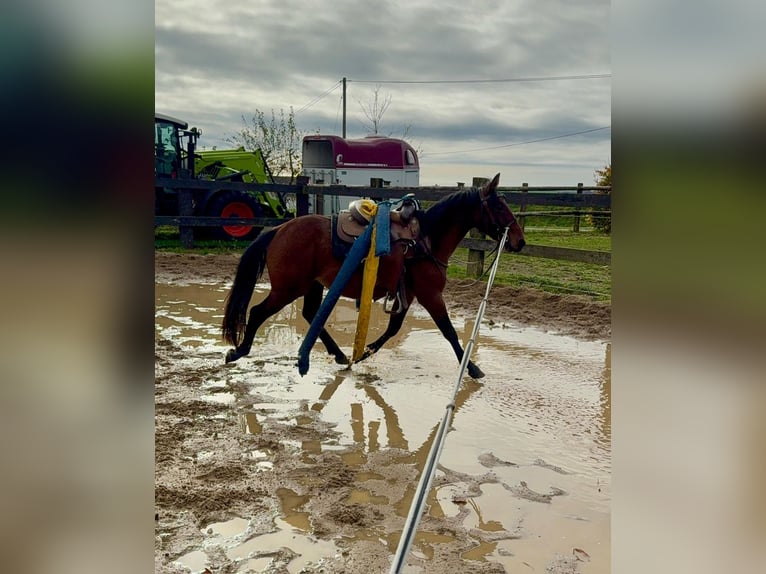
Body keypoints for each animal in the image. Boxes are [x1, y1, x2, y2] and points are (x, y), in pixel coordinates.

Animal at [222, 173, 526, 378]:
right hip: (288, 288)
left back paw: (340, 355)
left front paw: (364, 352)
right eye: (499, 206)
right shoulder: (431, 295)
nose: (519, 241)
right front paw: (472, 368)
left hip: (312, 285)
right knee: (258, 312)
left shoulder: (409, 294)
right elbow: (449, 331)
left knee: (310, 314)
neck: (426, 240)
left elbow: (393, 329)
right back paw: (238, 351)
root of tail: (279, 230)